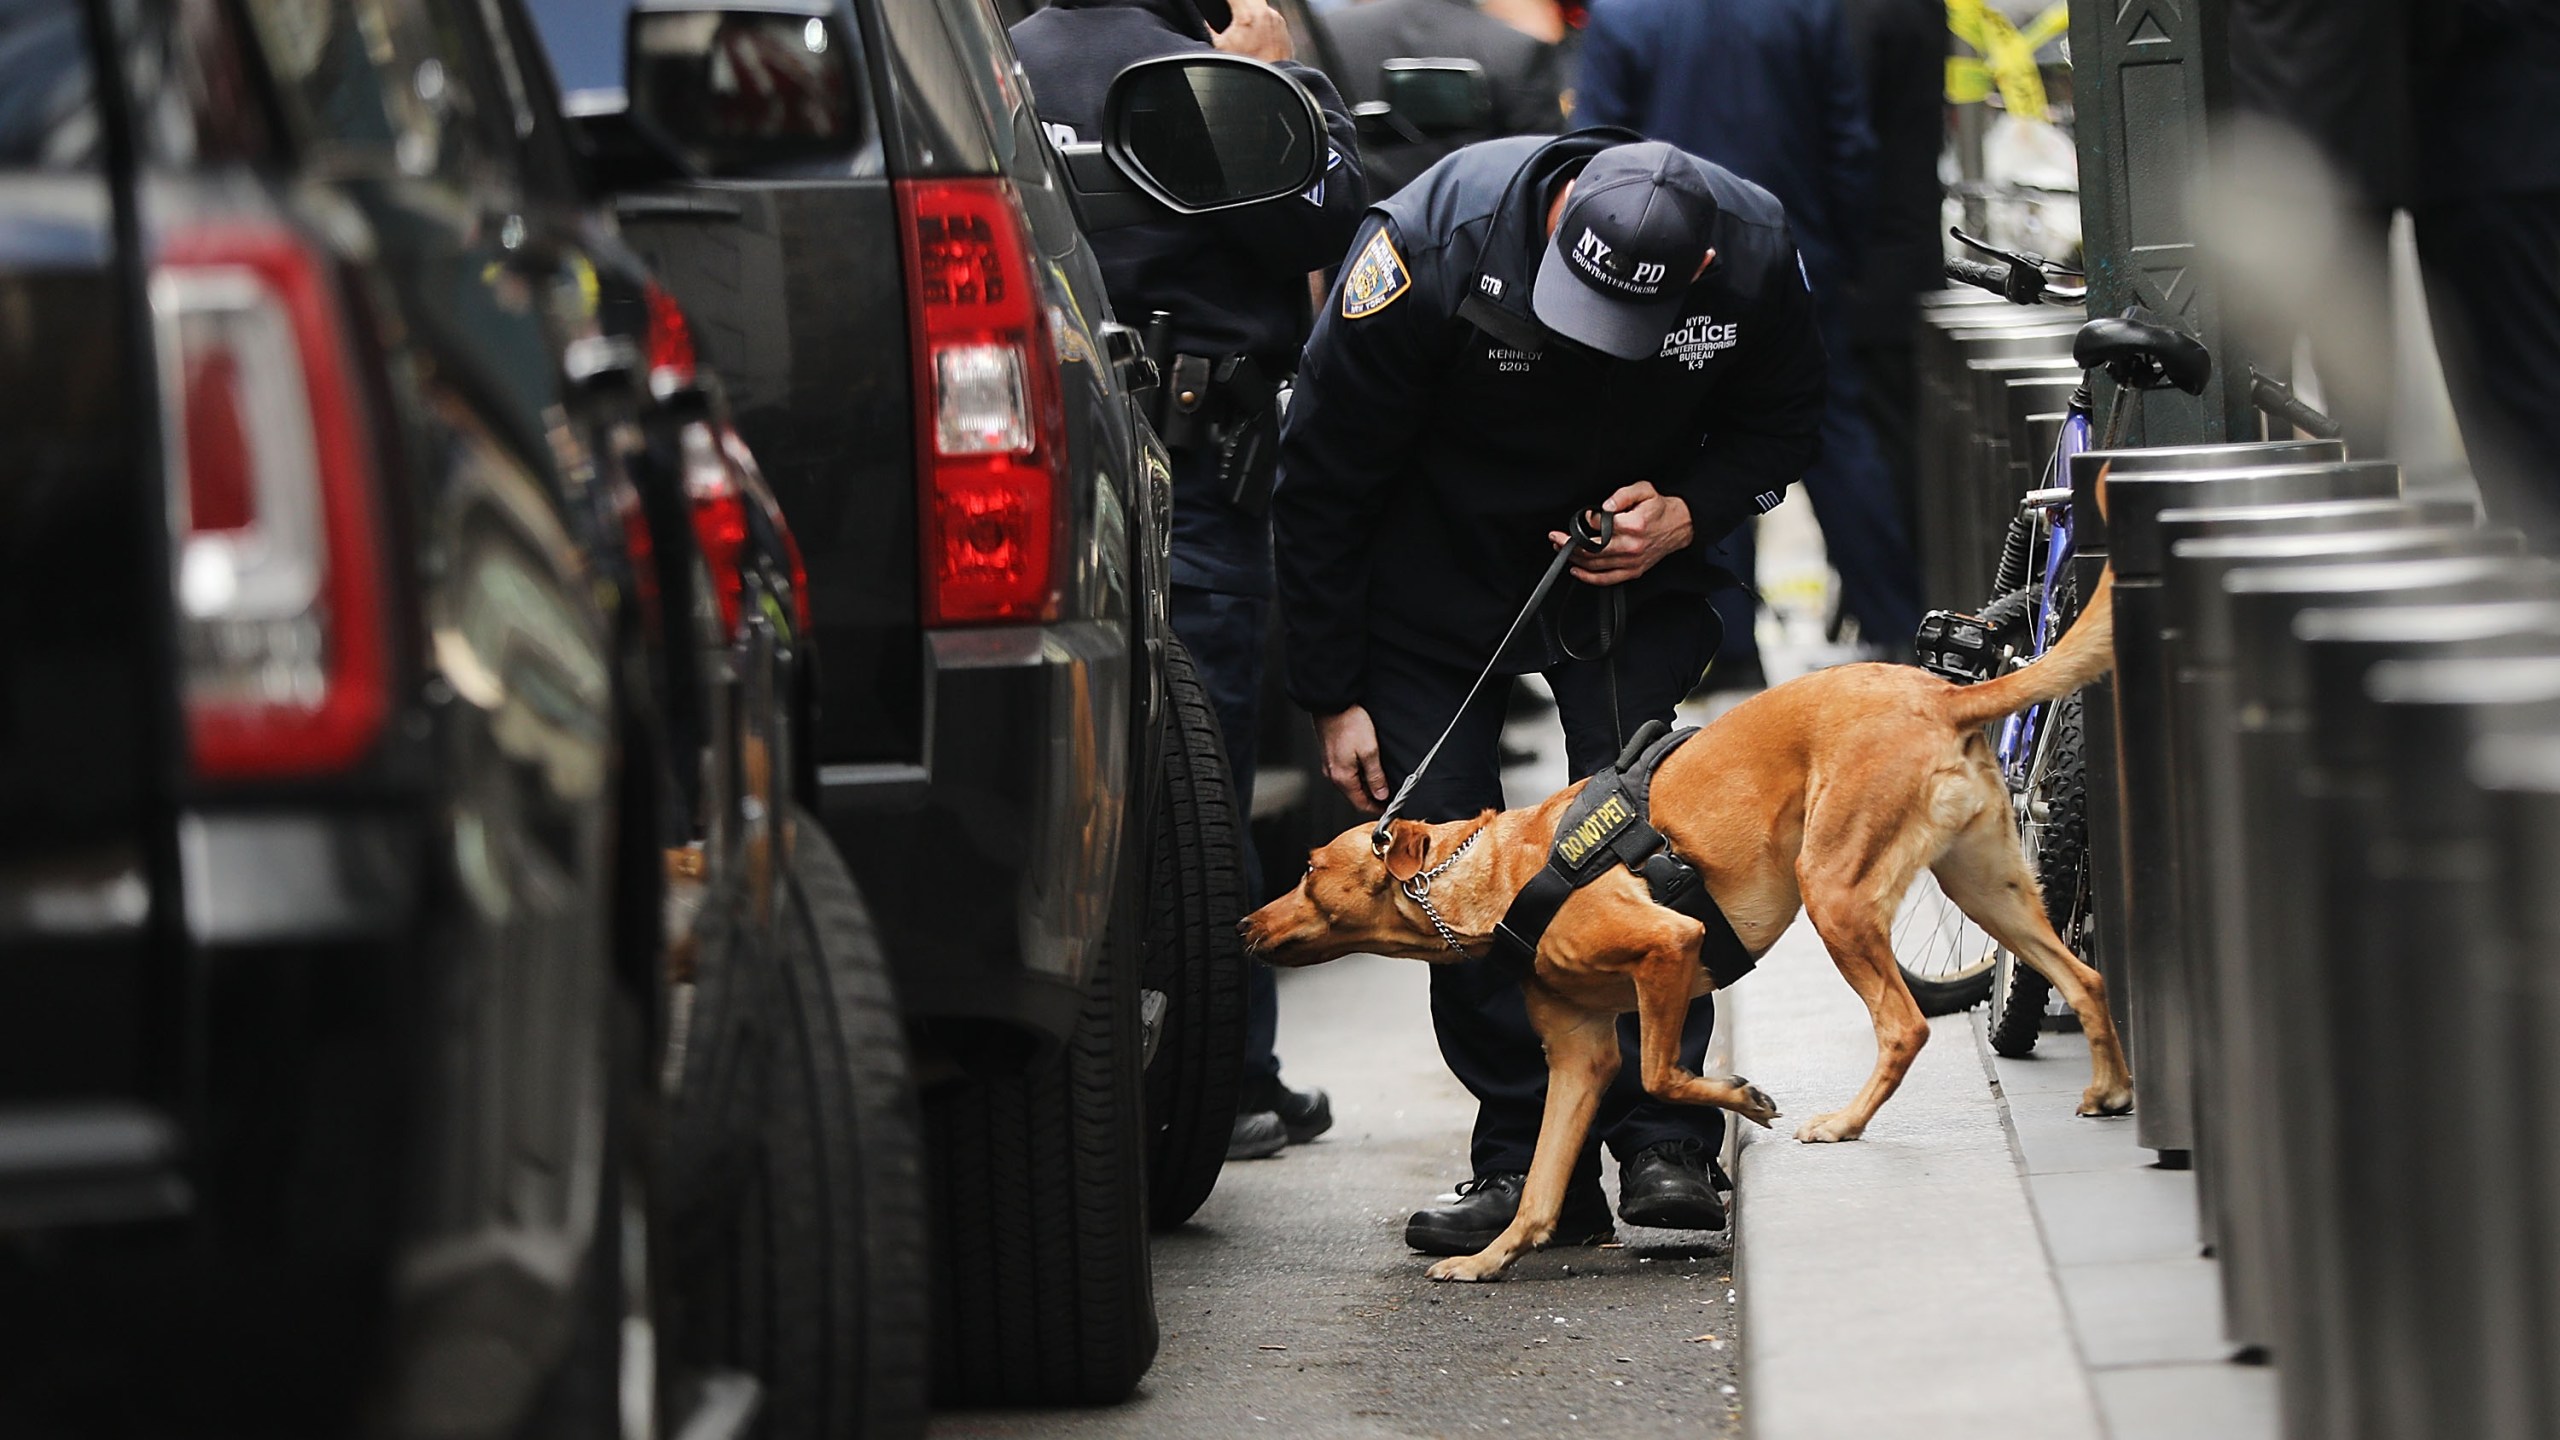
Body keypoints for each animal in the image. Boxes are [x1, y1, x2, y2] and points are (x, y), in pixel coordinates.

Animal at [1249, 571, 2129, 1276]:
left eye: (1306, 871)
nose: (1244, 925)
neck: (1500, 873)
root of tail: (1940, 691)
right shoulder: (1578, 1056)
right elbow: (1542, 1181)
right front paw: (1491, 1259)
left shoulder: (1670, 950)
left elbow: (1661, 1075)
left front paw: (1745, 1099)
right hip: (1989, 890)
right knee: (2084, 974)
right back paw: (2110, 1089)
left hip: (1835, 893)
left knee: (1904, 1025)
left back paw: (1844, 1123)